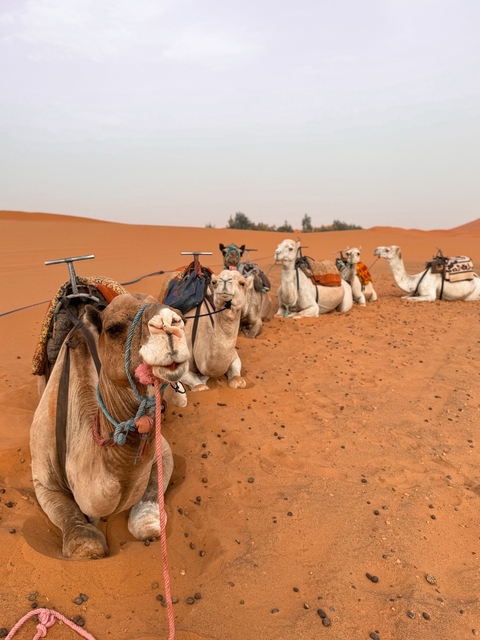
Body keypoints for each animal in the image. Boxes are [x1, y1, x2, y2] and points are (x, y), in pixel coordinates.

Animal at [30, 294, 190, 558]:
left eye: (181, 316)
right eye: (113, 328)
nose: (169, 323)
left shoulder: (163, 451)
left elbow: (148, 524)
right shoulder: (43, 480)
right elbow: (85, 543)